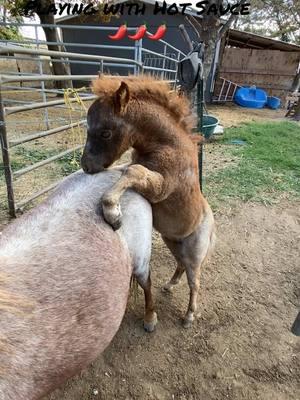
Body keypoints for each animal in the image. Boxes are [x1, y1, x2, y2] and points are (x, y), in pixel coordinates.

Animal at [81, 74, 214, 328]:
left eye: (105, 133)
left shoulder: (160, 188)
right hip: (173, 242)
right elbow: (130, 169)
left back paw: (189, 316)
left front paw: (112, 213)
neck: (167, 145)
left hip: (195, 254)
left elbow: (134, 171)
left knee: (195, 282)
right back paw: (170, 285)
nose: (86, 167)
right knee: (180, 265)